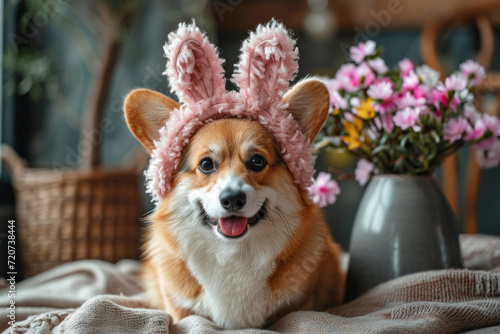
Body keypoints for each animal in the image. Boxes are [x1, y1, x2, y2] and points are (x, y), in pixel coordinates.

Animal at [124, 19, 344, 328]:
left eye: (257, 161)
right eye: (206, 164)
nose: (232, 199)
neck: (233, 254)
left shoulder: (301, 303)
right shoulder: (179, 309)